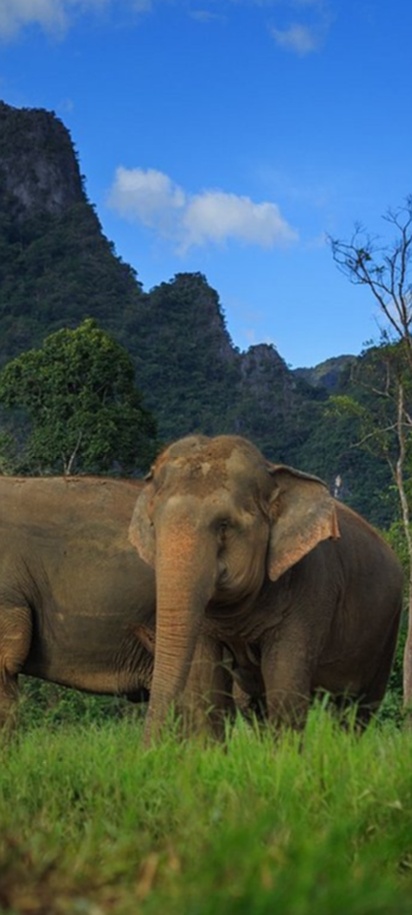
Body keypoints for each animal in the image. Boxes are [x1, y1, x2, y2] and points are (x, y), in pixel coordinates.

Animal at [129, 434, 403, 744]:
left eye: (224, 525)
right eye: (153, 525)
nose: (147, 750)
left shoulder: (311, 588)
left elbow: (284, 687)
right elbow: (206, 688)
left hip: (387, 630)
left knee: (356, 709)